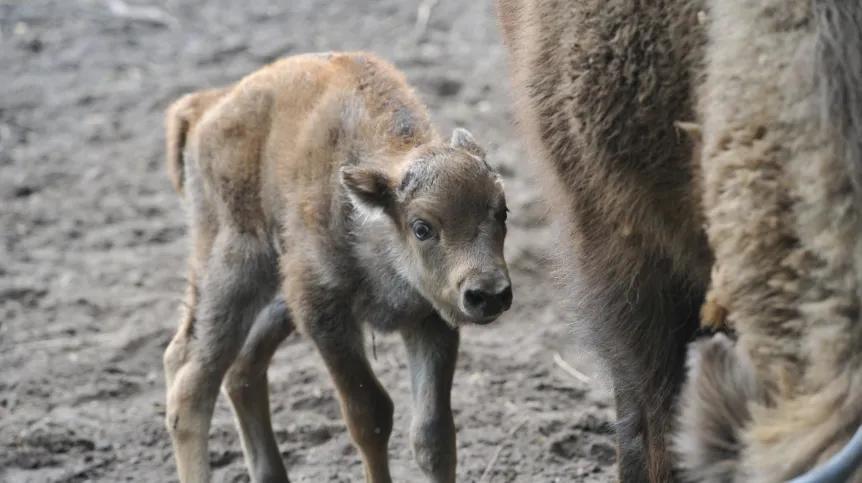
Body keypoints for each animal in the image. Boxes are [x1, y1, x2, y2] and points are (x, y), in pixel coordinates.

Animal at [160, 50, 512, 483]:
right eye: (422, 227)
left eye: (502, 212)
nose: (489, 295)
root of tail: (204, 107)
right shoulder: (324, 313)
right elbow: (370, 416)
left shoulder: (429, 318)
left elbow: (434, 434)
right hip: (233, 269)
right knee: (191, 380)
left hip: (276, 298)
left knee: (240, 371)